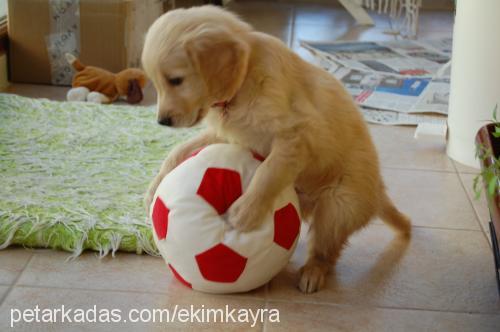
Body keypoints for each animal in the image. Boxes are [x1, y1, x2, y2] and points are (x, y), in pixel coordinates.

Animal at [142, 5, 410, 294]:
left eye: (176, 80)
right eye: (157, 83)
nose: (162, 121)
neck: (245, 78)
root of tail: (378, 191)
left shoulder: (296, 134)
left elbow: (269, 171)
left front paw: (245, 212)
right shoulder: (231, 136)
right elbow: (180, 150)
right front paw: (154, 187)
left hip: (339, 205)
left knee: (326, 250)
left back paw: (312, 273)